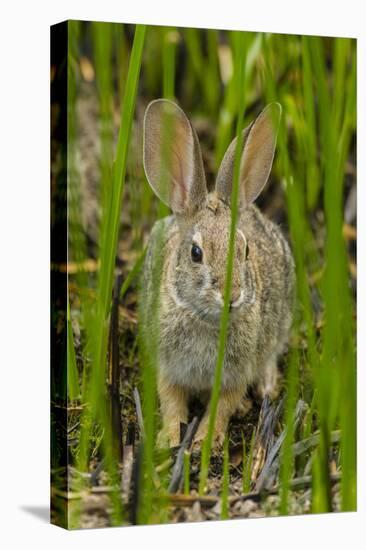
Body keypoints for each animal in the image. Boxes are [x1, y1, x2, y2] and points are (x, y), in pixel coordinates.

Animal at [139, 99, 294, 450]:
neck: (205, 319)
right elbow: (171, 401)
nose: (232, 296)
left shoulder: (236, 372)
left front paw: (205, 441)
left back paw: (266, 386)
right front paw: (170, 438)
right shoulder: (169, 366)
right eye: (196, 254)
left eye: (245, 251)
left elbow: (223, 405)